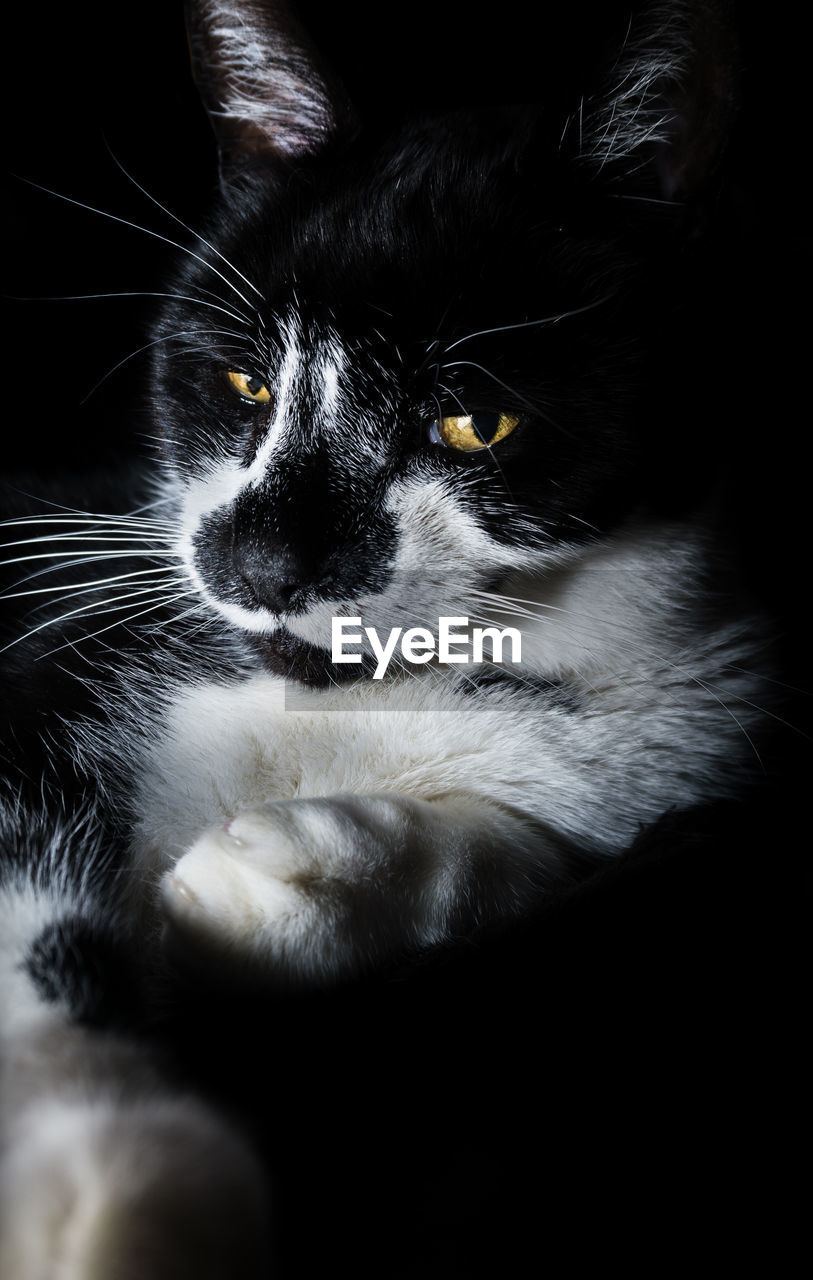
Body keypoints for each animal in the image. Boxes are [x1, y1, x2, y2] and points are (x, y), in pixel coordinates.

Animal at [0, 2, 804, 1280]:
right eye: (246, 383)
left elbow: (560, 846)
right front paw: (120, 1183)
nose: (257, 566)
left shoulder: (699, 744)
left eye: (472, 421)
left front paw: (285, 876)